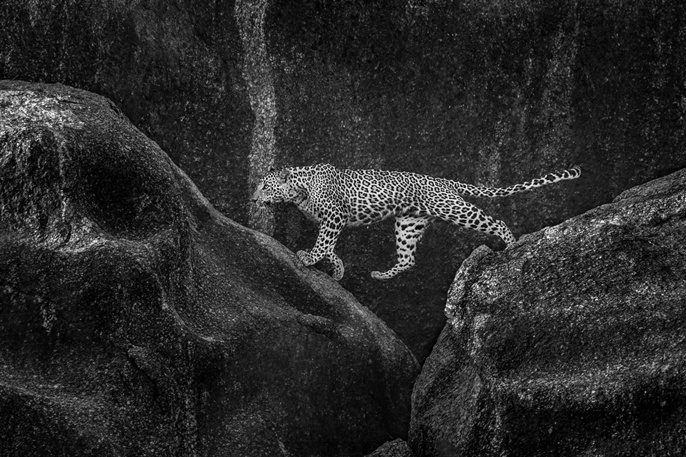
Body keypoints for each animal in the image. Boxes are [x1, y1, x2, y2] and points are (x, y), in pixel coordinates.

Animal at [251, 163, 580, 281]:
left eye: (265, 187)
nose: (254, 200)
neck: (298, 189)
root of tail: (445, 181)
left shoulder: (335, 216)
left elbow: (323, 242)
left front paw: (309, 258)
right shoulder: (332, 221)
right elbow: (330, 246)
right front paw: (337, 267)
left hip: (453, 208)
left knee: (496, 221)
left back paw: (512, 246)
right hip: (408, 223)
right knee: (408, 259)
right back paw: (382, 274)